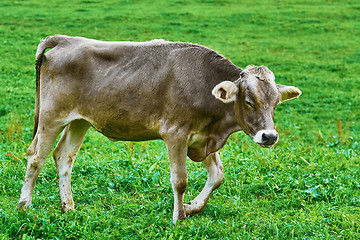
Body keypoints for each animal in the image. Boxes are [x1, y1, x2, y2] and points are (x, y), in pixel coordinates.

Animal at [18, 34, 302, 224]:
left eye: (275, 103)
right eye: (248, 101)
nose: (269, 136)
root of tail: (66, 40)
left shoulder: (202, 138)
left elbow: (217, 175)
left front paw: (192, 207)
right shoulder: (176, 134)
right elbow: (180, 180)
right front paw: (178, 218)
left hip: (80, 121)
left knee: (64, 156)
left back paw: (68, 207)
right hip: (51, 116)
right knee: (36, 156)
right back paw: (24, 206)